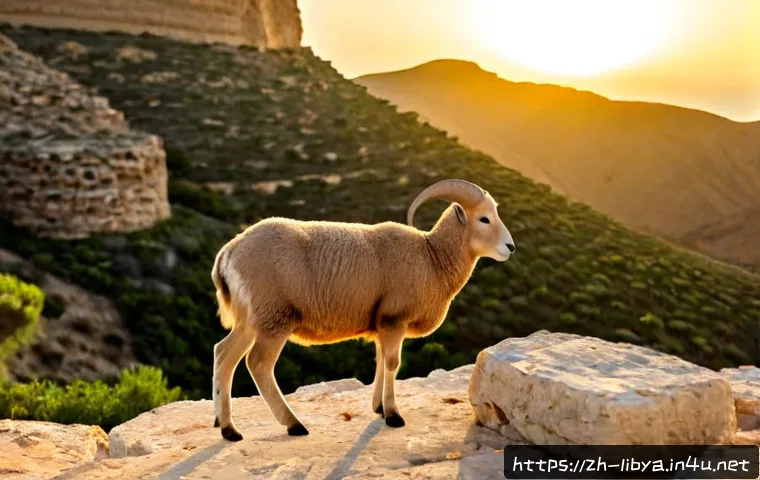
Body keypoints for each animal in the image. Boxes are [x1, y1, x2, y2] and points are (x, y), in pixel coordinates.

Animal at [210, 178, 516, 441]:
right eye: (484, 218)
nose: (510, 247)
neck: (430, 257)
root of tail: (228, 253)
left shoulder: (381, 325)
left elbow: (380, 360)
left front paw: (379, 409)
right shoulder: (394, 321)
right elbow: (392, 363)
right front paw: (393, 415)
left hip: (250, 322)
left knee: (223, 355)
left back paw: (228, 429)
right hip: (274, 320)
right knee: (258, 364)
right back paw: (293, 424)